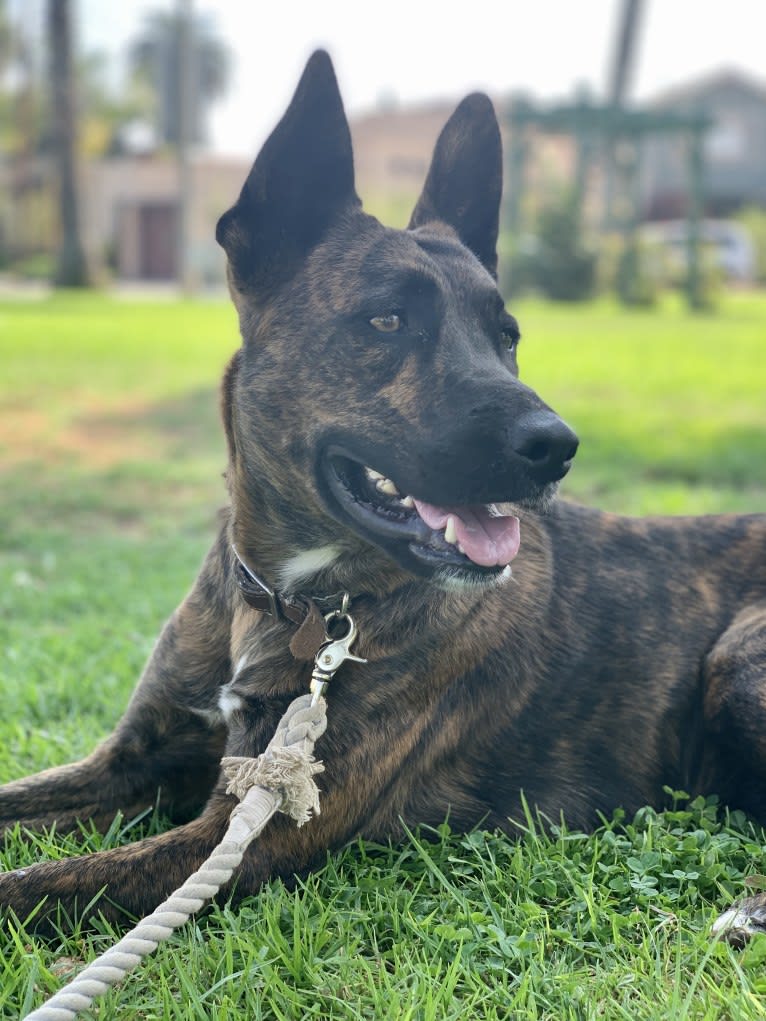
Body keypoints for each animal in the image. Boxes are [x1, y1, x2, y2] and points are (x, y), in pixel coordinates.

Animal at [1, 51, 766, 935]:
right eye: (388, 321)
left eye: (506, 337)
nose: (557, 447)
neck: (292, 601)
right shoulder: (133, 761)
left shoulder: (250, 826)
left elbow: (34, 883)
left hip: (738, 662)